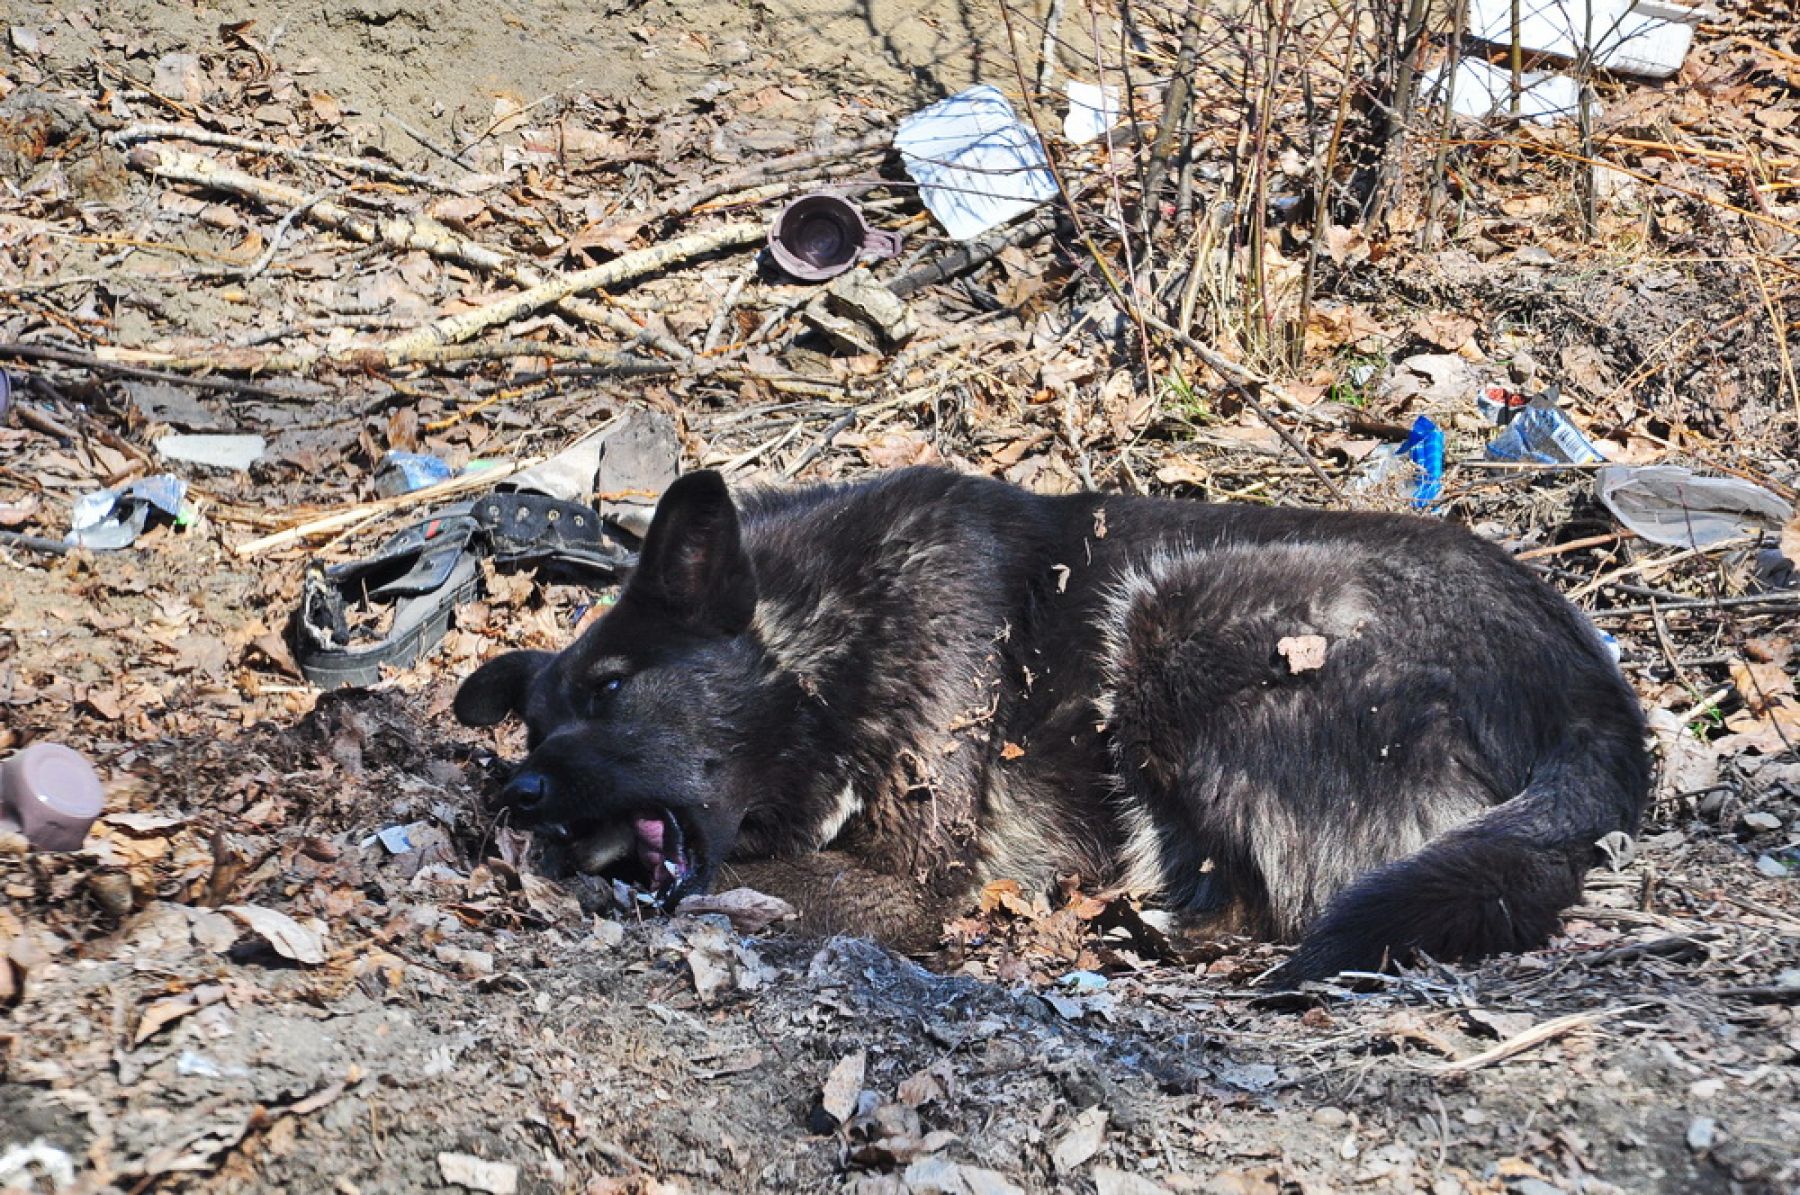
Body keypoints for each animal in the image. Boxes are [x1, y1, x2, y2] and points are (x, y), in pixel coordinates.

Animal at [457, 464, 1648, 979]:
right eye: (535, 728)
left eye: (612, 688)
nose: (516, 791)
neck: (826, 643)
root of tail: (1591, 692)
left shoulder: (911, 880)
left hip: (1176, 615)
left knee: (1291, 904)